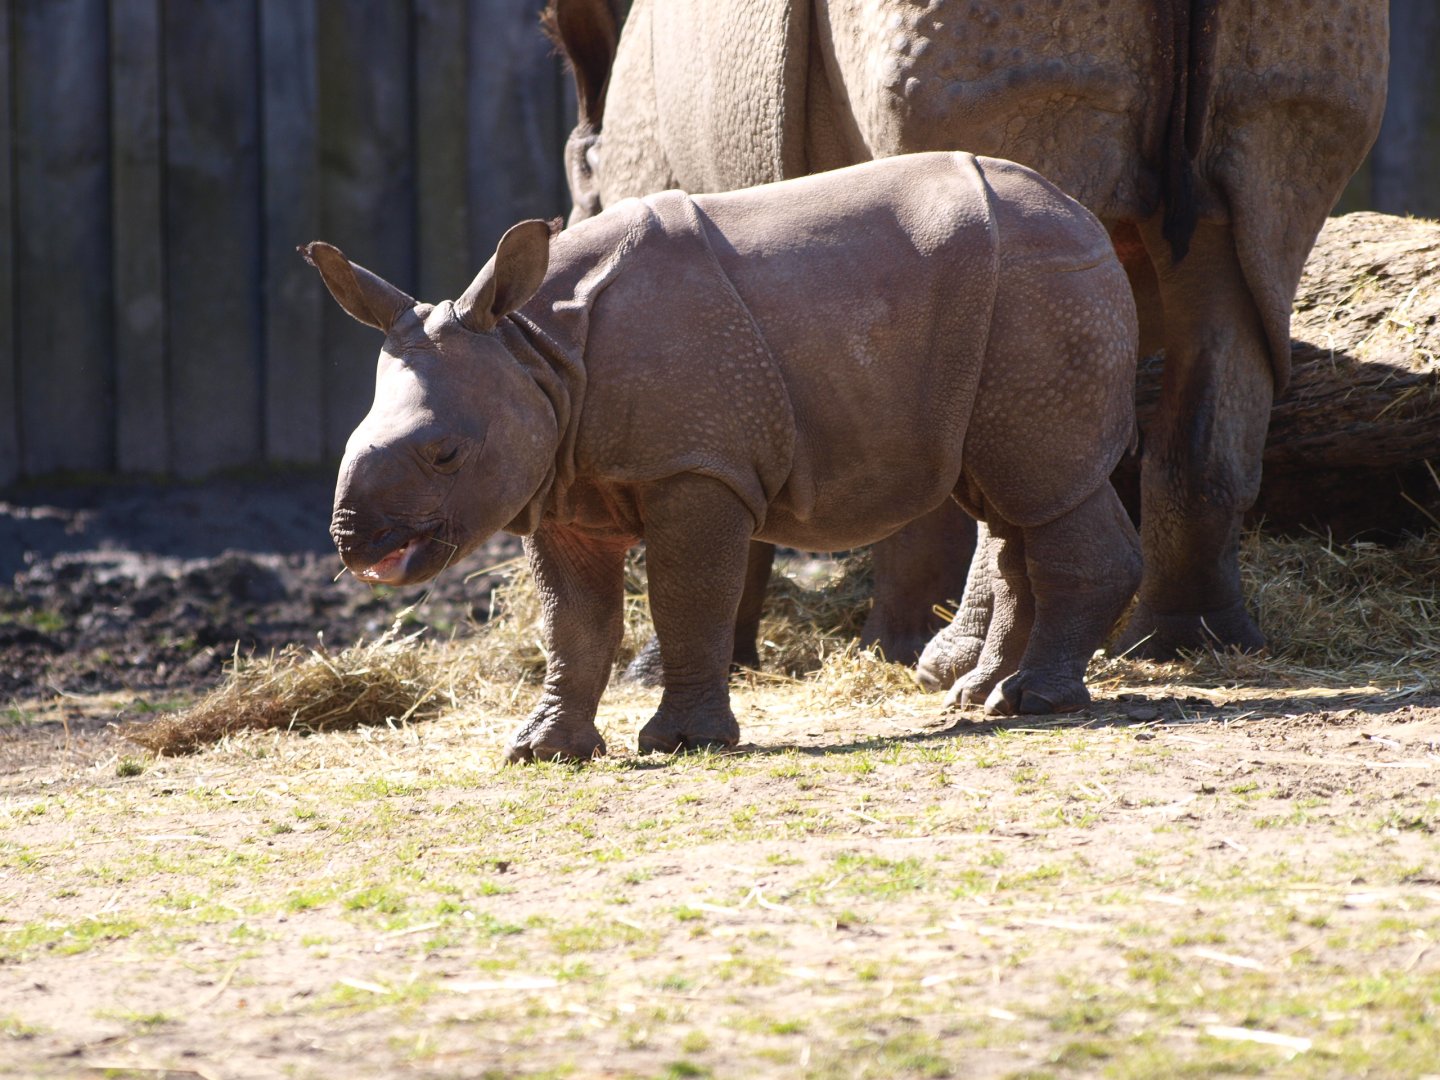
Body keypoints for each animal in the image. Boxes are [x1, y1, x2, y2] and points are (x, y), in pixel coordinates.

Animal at [307, 152, 1140, 761]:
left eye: (445, 454)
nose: (353, 541)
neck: (533, 350)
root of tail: (1087, 216)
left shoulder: (696, 464)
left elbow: (687, 597)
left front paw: (680, 743)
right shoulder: (561, 483)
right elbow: (572, 622)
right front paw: (543, 751)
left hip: (1039, 287)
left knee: (1043, 485)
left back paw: (1035, 701)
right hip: (1002, 309)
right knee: (1007, 499)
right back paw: (979, 697)